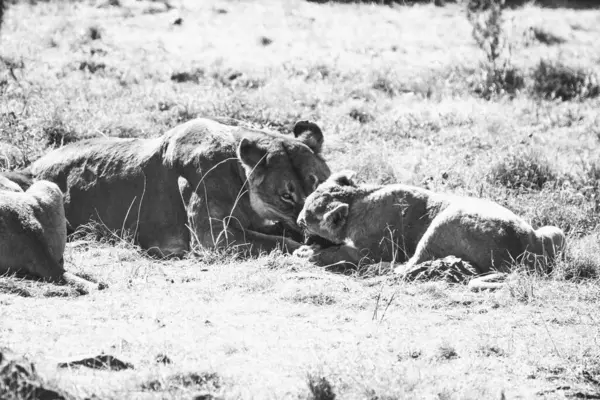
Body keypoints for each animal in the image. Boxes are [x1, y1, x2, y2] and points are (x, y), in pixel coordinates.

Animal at [30, 117, 330, 258]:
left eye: (317, 185)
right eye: (286, 195)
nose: (312, 227)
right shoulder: (212, 236)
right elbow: (276, 242)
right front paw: (306, 249)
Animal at [292, 170, 564, 290]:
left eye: (304, 222)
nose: (296, 221)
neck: (357, 201)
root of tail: (524, 250)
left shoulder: (367, 251)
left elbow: (333, 253)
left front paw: (306, 254)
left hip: (443, 221)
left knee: (407, 268)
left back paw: (377, 271)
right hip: (554, 232)